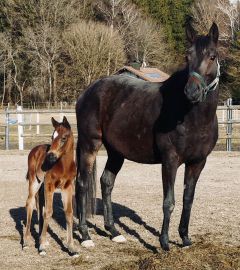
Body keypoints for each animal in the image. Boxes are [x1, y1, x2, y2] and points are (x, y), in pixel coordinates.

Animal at [23, 116, 77, 255]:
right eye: (52, 137)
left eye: (64, 137)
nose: (51, 155)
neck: (64, 166)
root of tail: (35, 149)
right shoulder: (50, 185)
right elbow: (48, 212)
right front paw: (41, 246)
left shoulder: (67, 187)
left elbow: (69, 212)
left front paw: (71, 247)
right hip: (35, 182)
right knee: (30, 203)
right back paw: (26, 242)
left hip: (41, 186)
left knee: (39, 204)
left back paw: (42, 239)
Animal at [76, 23, 220, 251]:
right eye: (187, 56)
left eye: (212, 56)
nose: (192, 91)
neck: (191, 116)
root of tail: (87, 92)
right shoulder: (170, 161)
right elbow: (169, 201)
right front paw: (164, 242)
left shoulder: (198, 162)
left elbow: (188, 199)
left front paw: (185, 239)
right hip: (89, 145)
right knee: (82, 183)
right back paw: (85, 236)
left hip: (115, 152)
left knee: (106, 182)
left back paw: (114, 232)